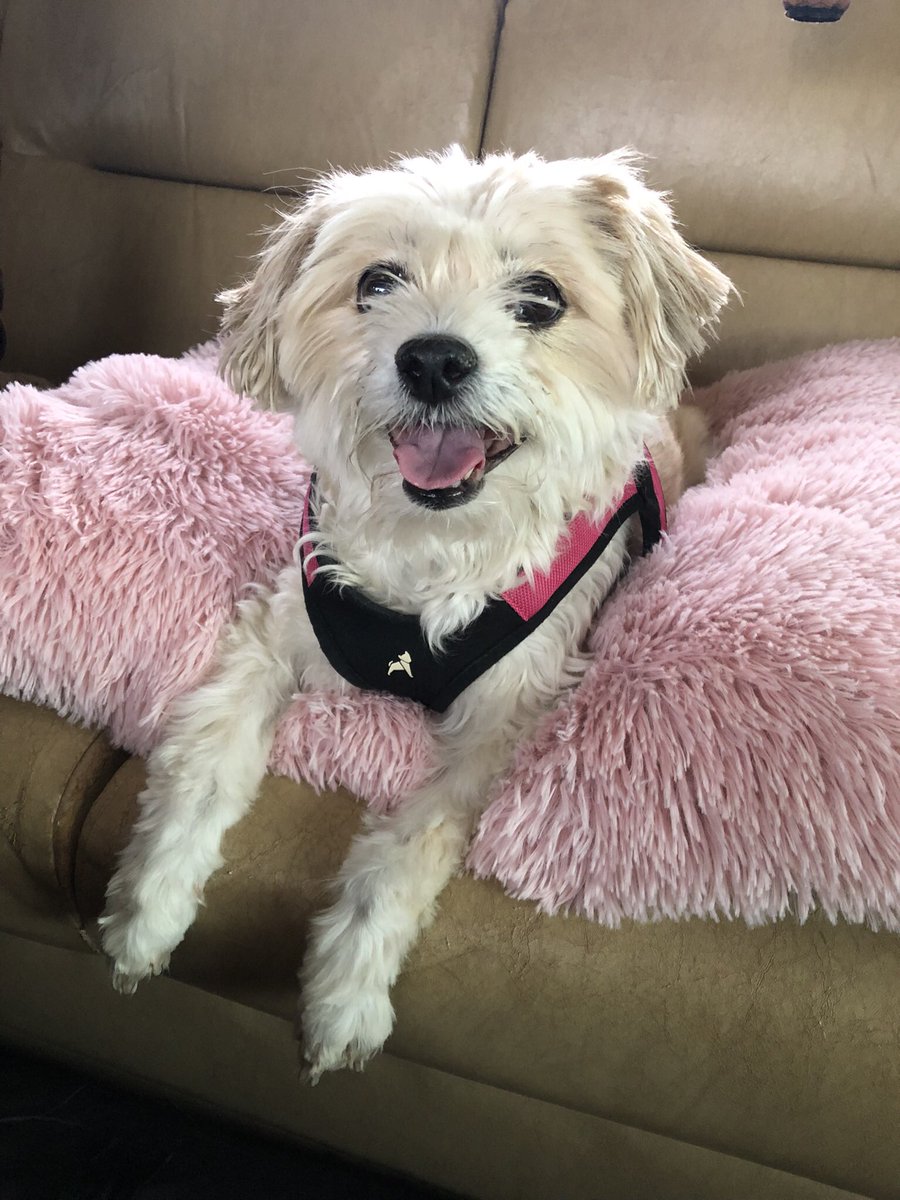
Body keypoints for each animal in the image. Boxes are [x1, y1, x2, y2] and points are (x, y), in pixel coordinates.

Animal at [98, 147, 734, 1080]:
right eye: (376, 282)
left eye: (541, 296)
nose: (432, 359)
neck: (431, 547)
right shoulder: (278, 630)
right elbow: (202, 762)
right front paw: (147, 909)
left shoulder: (502, 721)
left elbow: (411, 845)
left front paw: (344, 995)